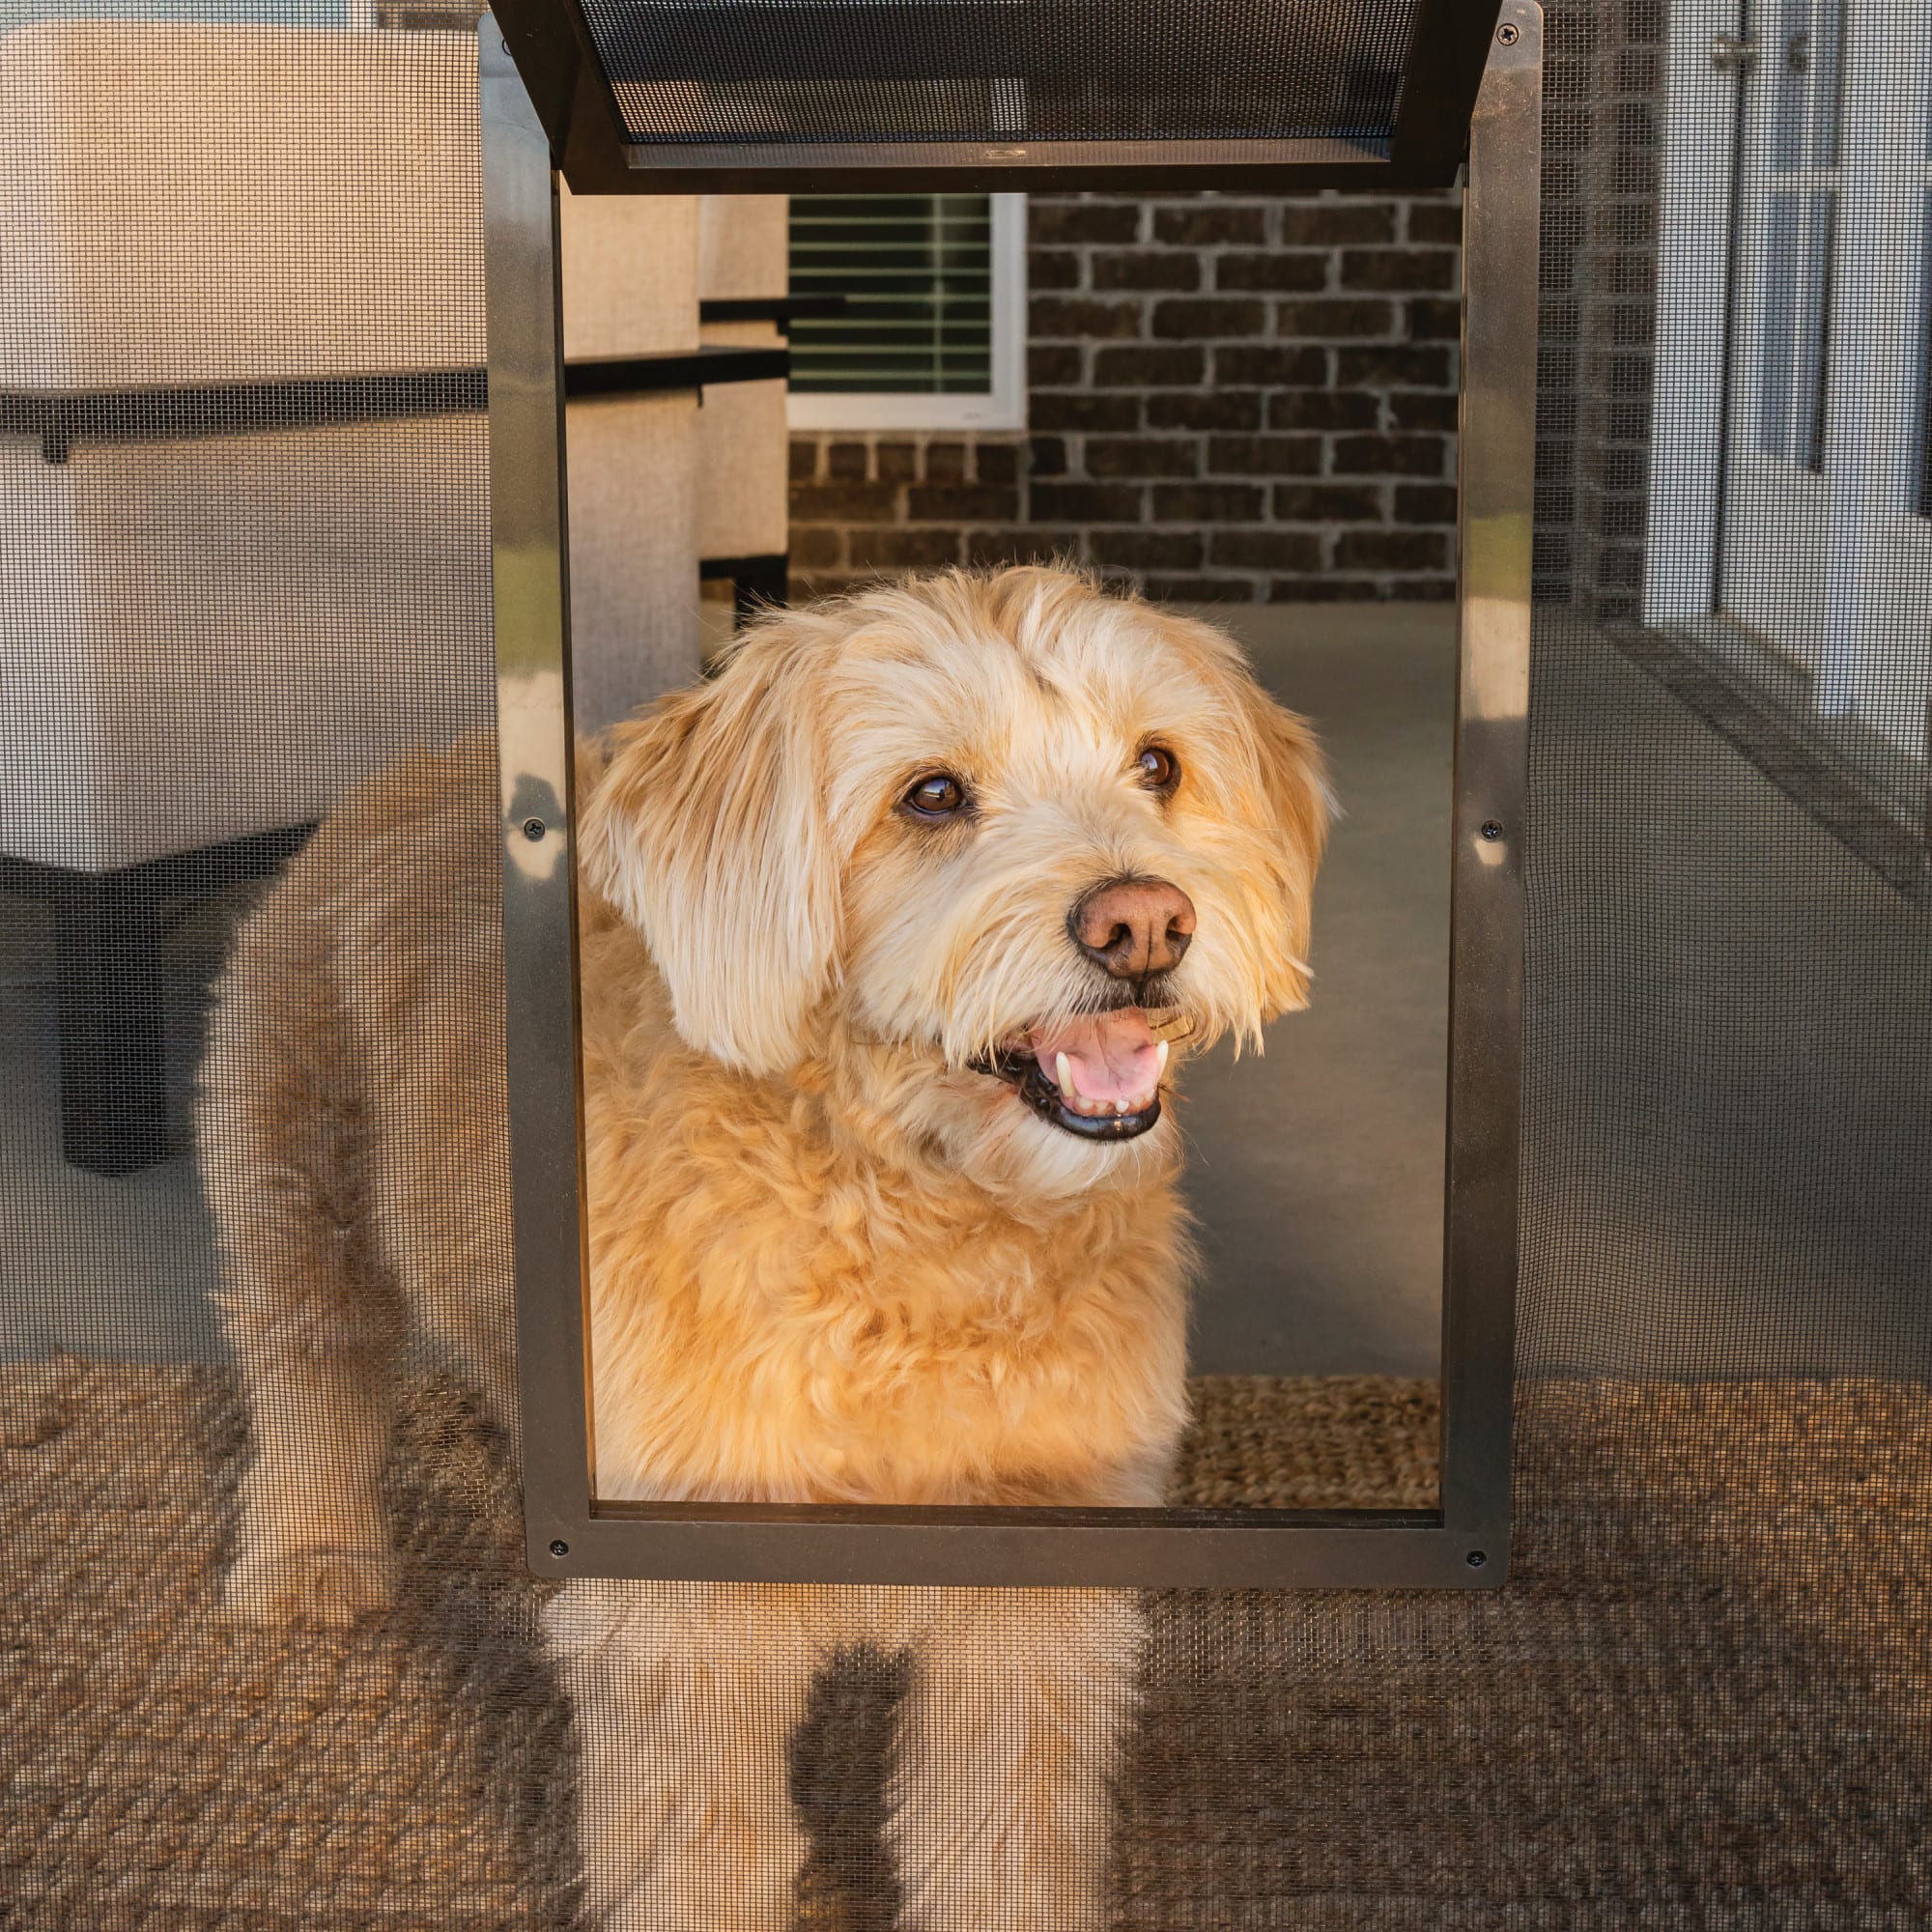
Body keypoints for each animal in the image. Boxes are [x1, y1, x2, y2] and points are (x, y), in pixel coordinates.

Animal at [208, 564, 1329, 1932]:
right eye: (931, 794)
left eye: (1158, 764)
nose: (1145, 919)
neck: (911, 1224)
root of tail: (431, 759)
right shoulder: (690, 1616)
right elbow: (702, 1851)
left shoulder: (1029, 1604)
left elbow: (1001, 1837)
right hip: (299, 1189)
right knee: (313, 1371)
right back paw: (312, 1551)